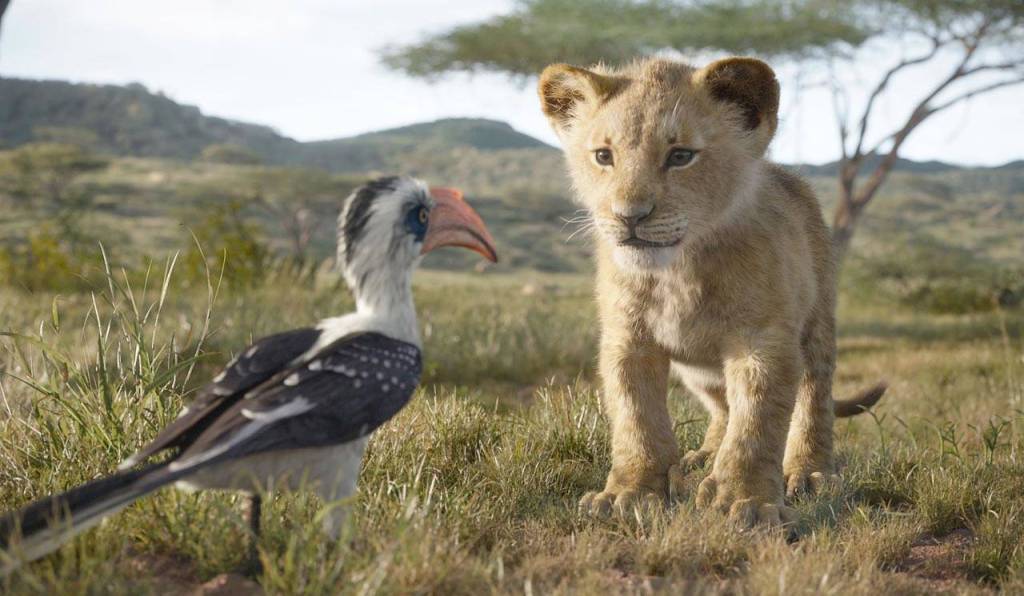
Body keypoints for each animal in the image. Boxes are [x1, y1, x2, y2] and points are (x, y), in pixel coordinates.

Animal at [537, 56, 885, 527]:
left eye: (681, 156)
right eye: (604, 156)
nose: (629, 216)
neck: (677, 272)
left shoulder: (762, 341)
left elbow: (756, 424)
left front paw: (747, 501)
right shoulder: (628, 340)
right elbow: (636, 418)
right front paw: (629, 493)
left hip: (817, 326)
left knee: (814, 397)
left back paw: (809, 472)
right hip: (698, 370)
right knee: (722, 406)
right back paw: (702, 456)